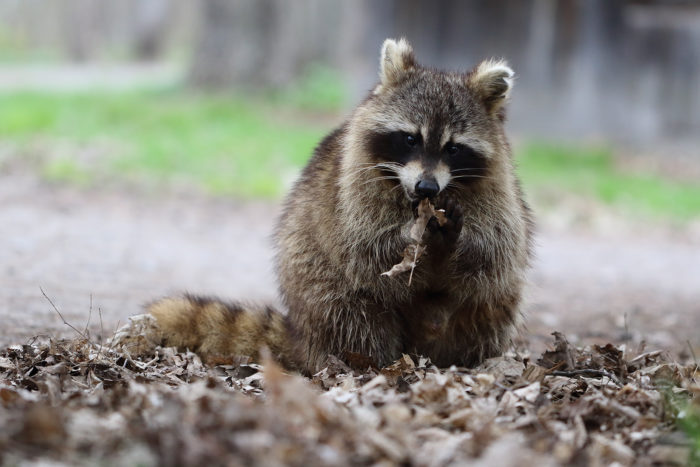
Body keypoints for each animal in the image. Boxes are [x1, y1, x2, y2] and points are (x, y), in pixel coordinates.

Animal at [134, 39, 532, 376]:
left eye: (453, 148)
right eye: (409, 139)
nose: (427, 187)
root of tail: (303, 333)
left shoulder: (496, 189)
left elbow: (495, 251)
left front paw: (457, 241)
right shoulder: (354, 185)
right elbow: (366, 250)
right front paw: (408, 237)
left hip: (479, 312)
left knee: (492, 302)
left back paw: (466, 359)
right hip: (316, 286)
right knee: (350, 308)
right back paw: (369, 362)